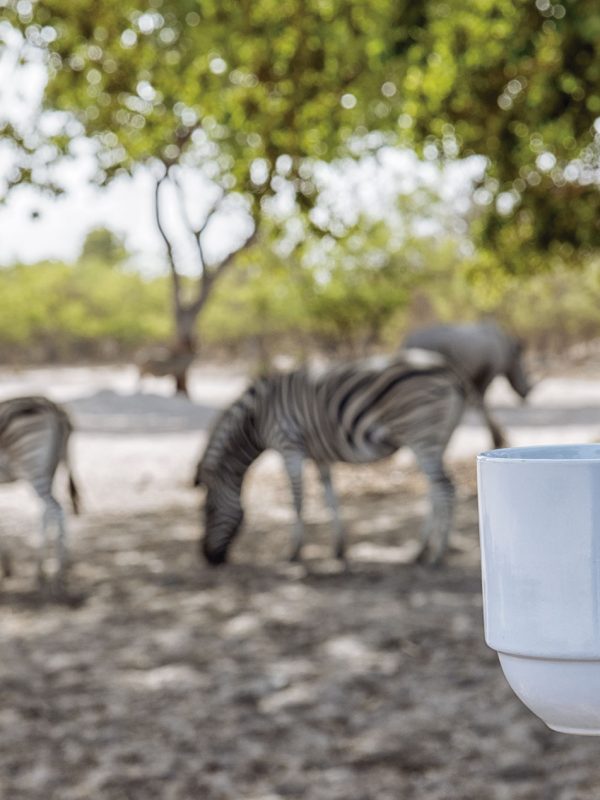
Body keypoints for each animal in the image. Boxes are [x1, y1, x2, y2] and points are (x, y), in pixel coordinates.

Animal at [0, 396, 79, 584]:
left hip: (31, 464)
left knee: (55, 509)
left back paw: (55, 572)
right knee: (49, 510)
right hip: (49, 468)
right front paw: (6, 566)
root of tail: (56, 408)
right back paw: (50, 569)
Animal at [195, 352, 486, 568]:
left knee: (445, 489)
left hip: (421, 435)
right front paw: (338, 549)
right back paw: (420, 550)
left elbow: (297, 500)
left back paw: (437, 554)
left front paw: (294, 552)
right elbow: (330, 497)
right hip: (437, 440)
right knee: (434, 491)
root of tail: (448, 371)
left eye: (208, 510)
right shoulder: (320, 456)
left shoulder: (289, 446)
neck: (256, 418)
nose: (208, 558)